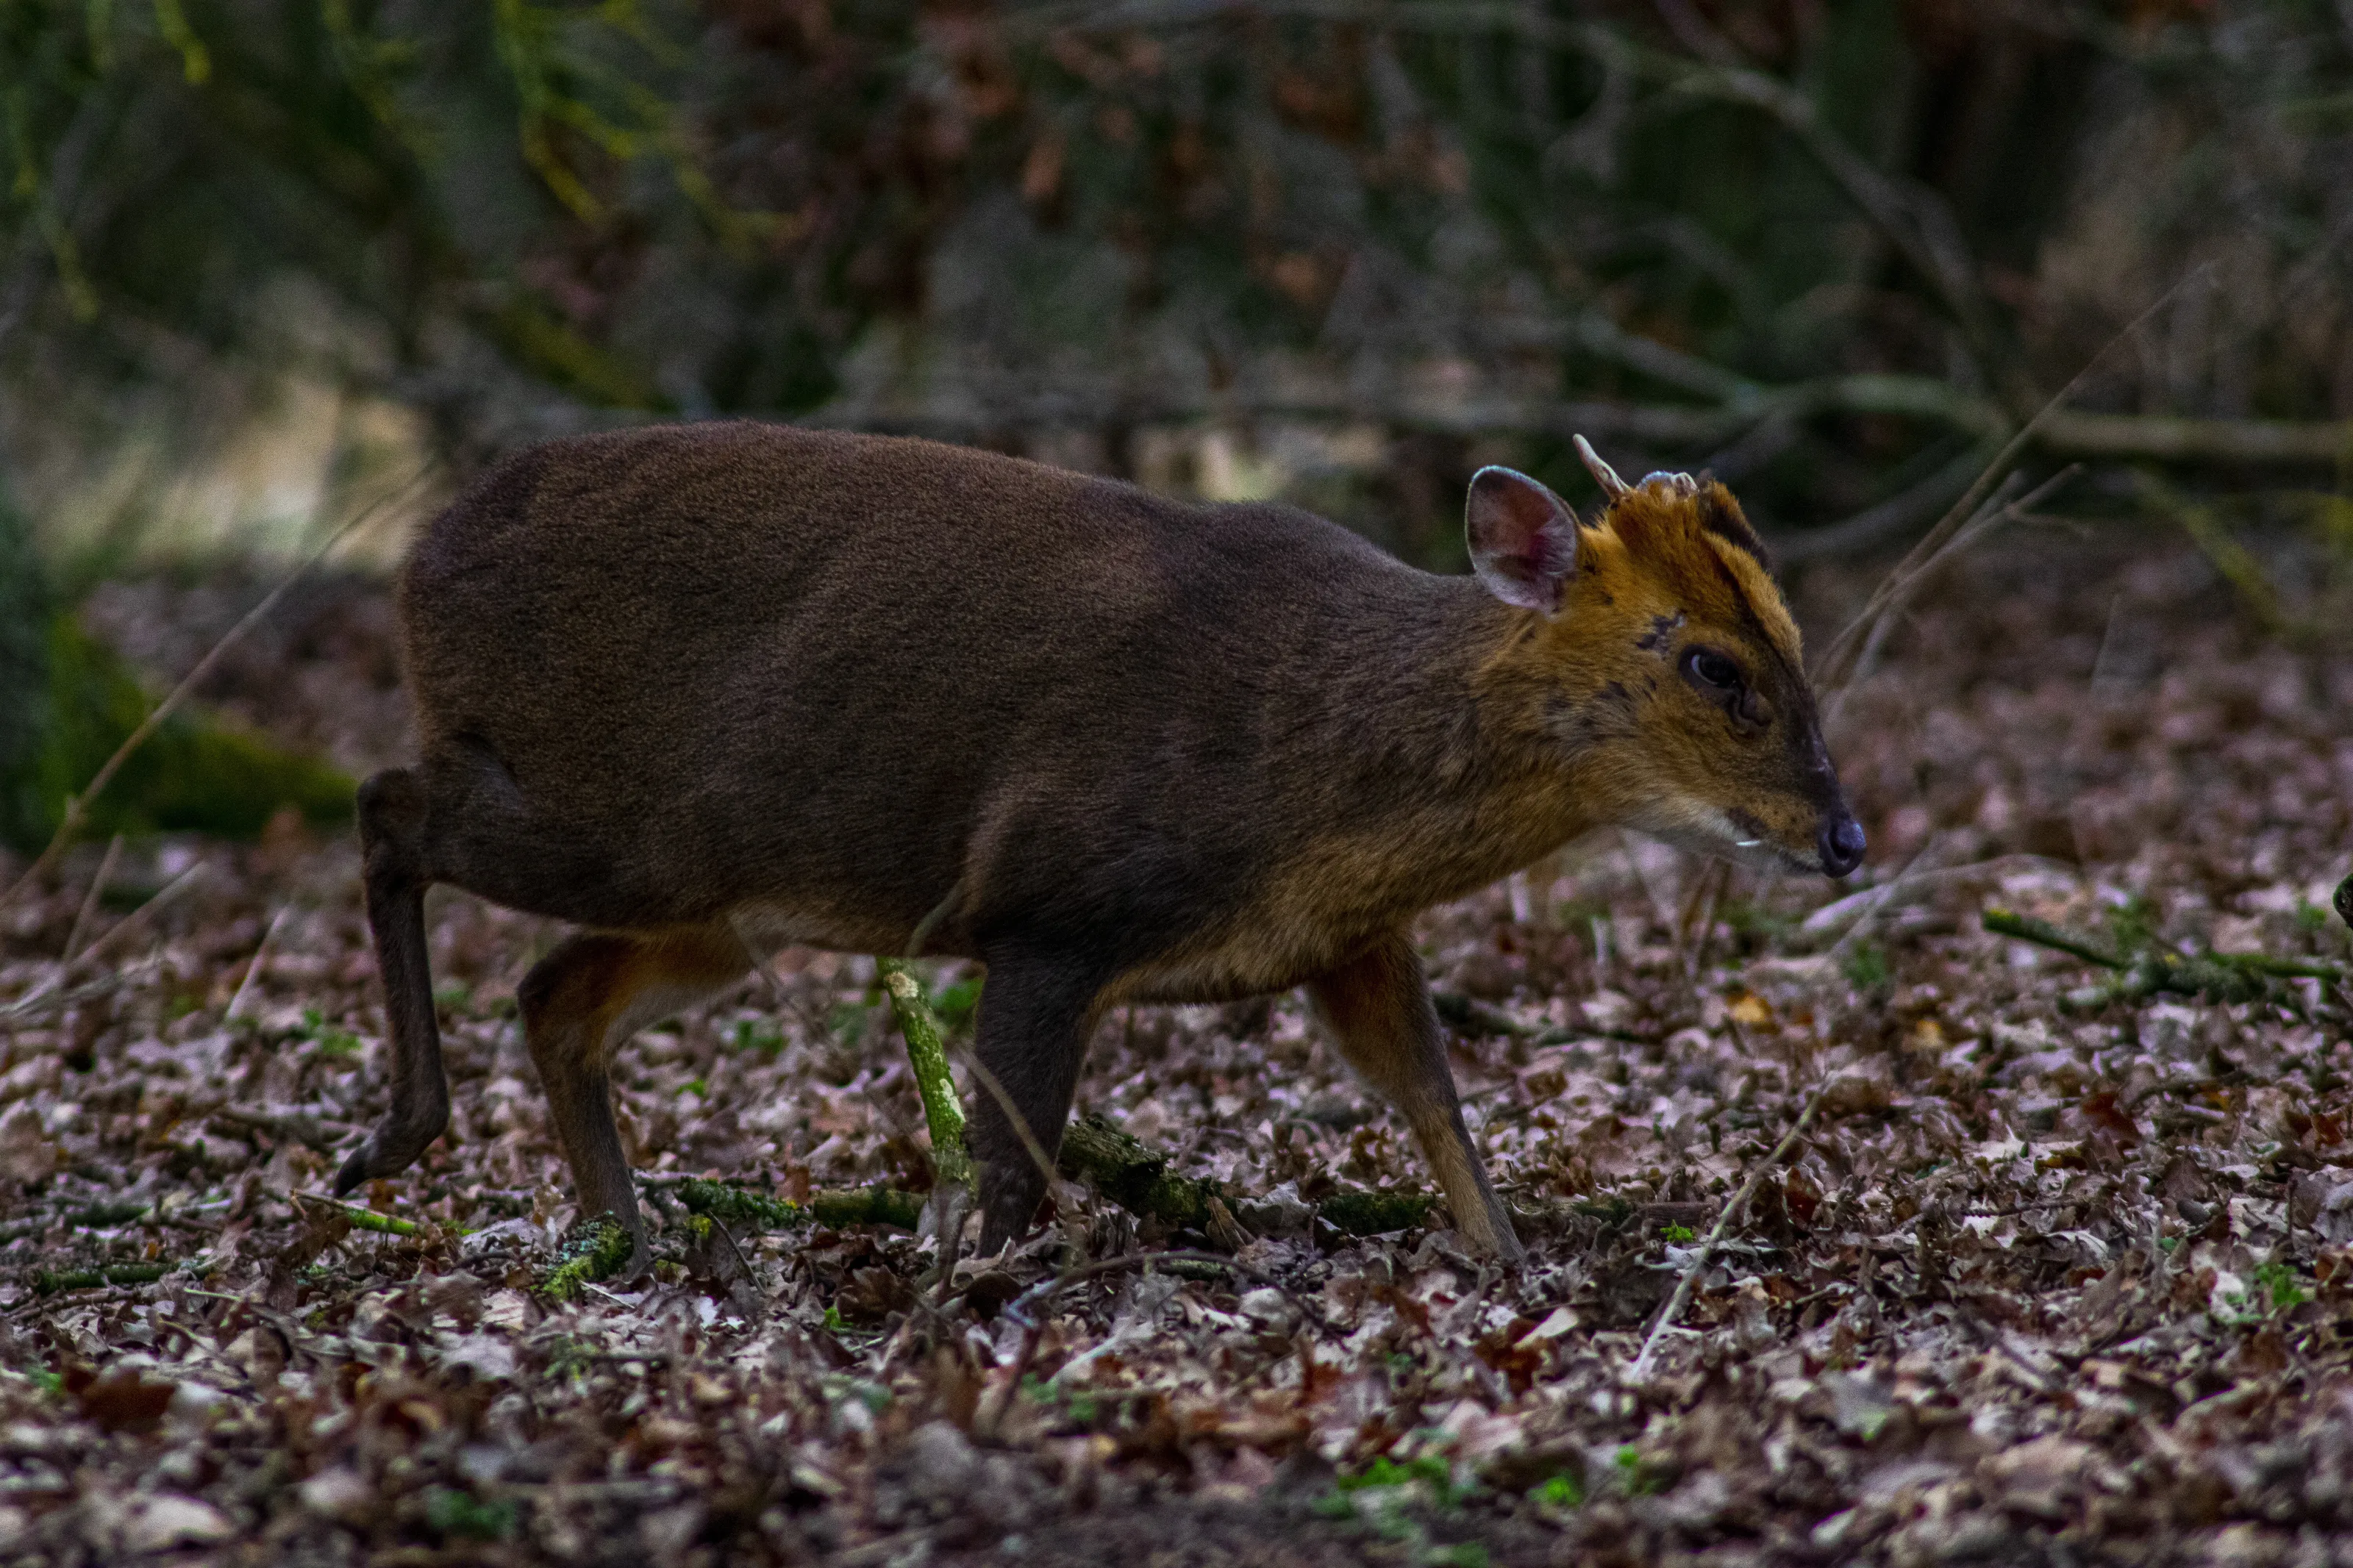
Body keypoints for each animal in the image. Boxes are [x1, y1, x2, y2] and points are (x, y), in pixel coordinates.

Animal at [334, 422, 1864, 1267]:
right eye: (1714, 662)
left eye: (1792, 636)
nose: (1845, 834)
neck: (1325, 769)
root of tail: (413, 566)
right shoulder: (1050, 905)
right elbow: (1010, 1163)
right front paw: (962, 1298)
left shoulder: (1349, 935)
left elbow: (1435, 1103)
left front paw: (1517, 1274)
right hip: (605, 815)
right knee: (386, 805)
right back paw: (394, 1139)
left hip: (716, 905)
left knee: (552, 995)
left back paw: (624, 1233)